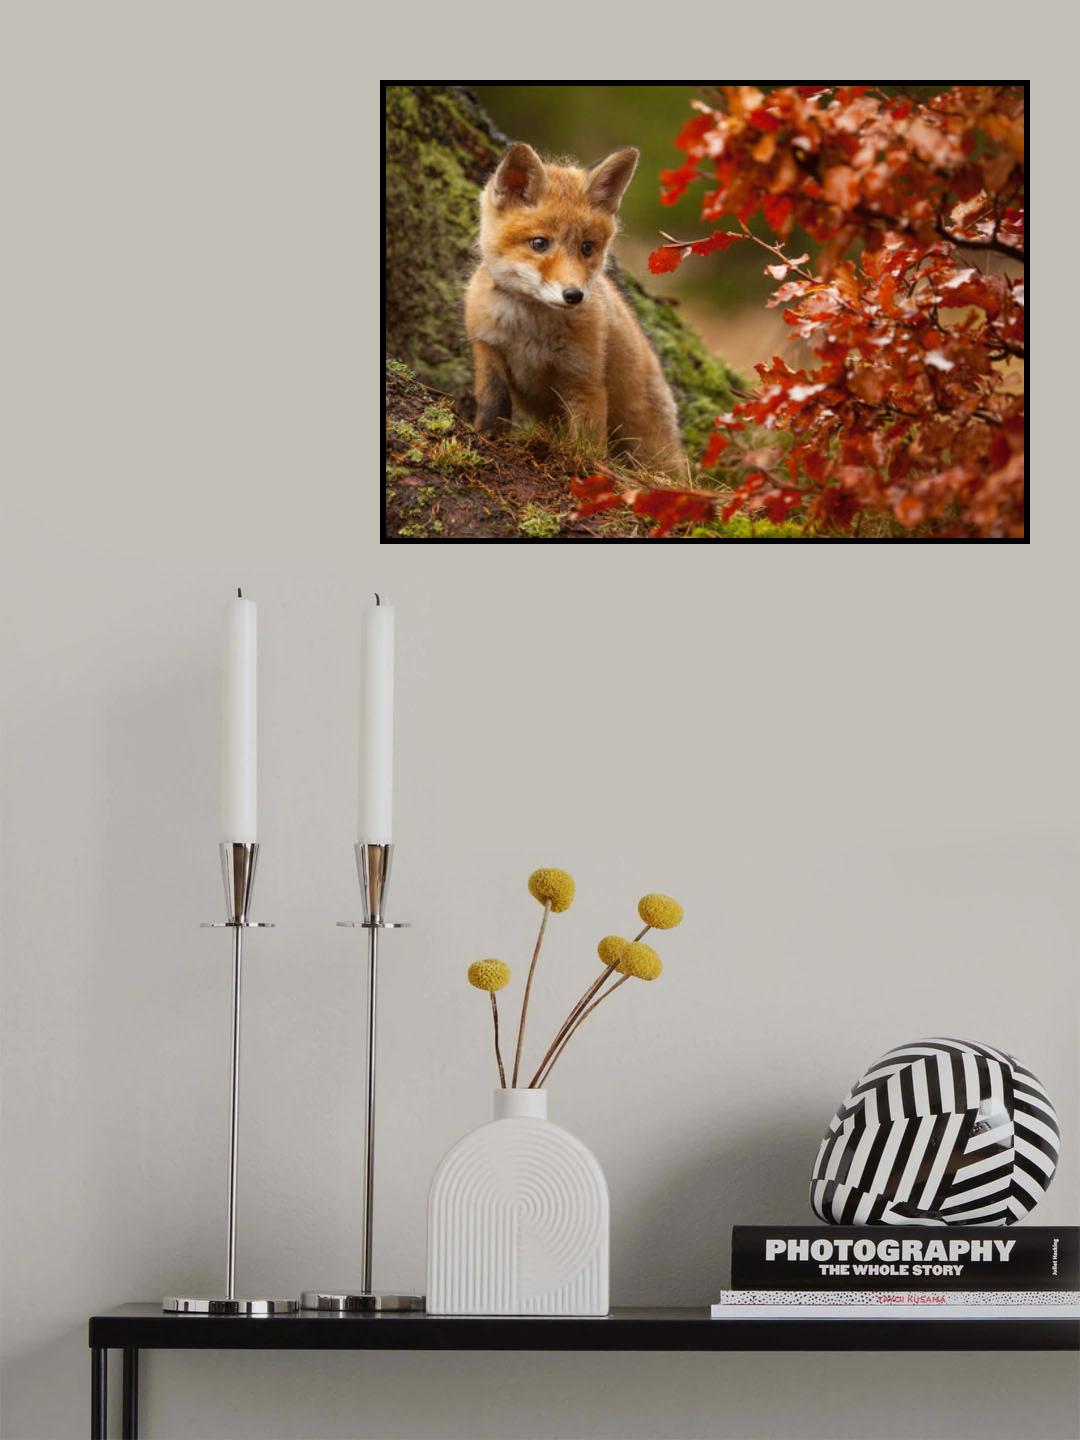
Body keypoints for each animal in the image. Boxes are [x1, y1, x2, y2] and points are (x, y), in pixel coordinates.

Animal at [464, 142, 685, 476]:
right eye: (539, 243)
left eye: (587, 248)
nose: (574, 295)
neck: (529, 330)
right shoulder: (488, 349)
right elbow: (492, 404)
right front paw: (486, 436)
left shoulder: (582, 377)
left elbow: (587, 440)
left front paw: (587, 471)